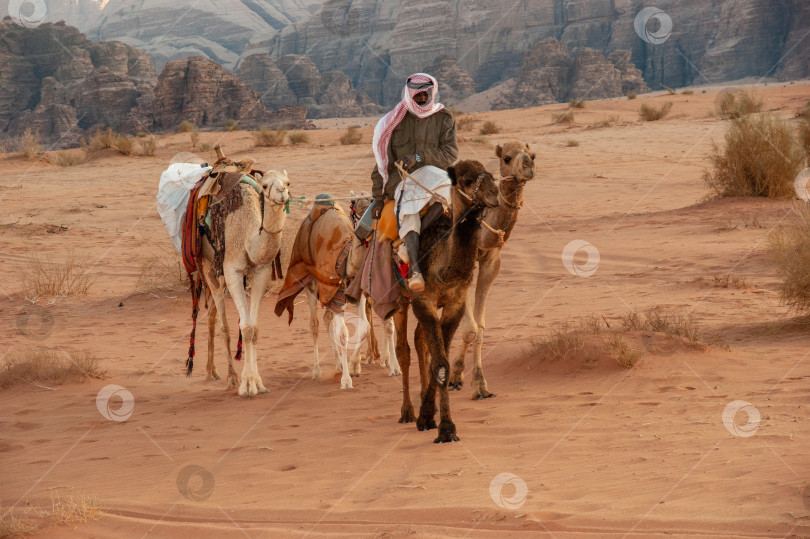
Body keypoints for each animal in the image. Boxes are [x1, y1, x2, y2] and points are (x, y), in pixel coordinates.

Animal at [199, 171, 290, 398]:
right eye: (264, 185)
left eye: (288, 182)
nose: (282, 192)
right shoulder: (232, 270)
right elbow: (246, 327)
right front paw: (247, 384)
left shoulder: (261, 271)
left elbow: (254, 328)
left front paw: (258, 383)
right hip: (208, 264)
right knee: (222, 322)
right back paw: (231, 377)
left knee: (212, 314)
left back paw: (212, 370)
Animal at [392, 159, 498, 442]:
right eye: (466, 180)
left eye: (491, 175)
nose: (495, 194)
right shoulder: (423, 301)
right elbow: (440, 365)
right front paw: (445, 429)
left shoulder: (454, 304)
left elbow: (440, 364)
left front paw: (431, 416)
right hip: (399, 300)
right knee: (403, 350)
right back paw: (406, 412)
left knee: (419, 341)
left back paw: (421, 406)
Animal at [446, 141, 532, 398]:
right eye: (507, 157)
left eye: (532, 154)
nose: (529, 165)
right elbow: (470, 328)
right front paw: (455, 376)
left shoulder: (491, 262)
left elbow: (480, 326)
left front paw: (477, 383)